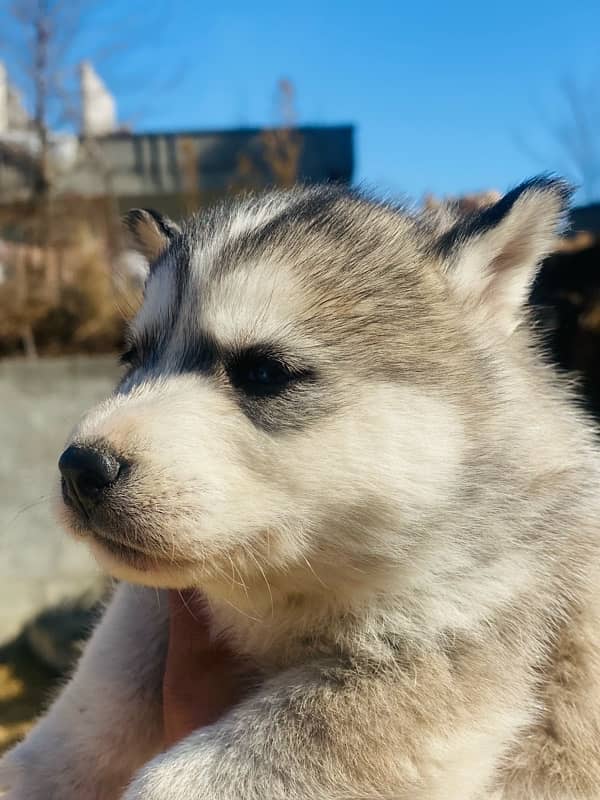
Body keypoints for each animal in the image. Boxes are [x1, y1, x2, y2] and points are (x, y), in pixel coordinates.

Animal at [1, 181, 600, 800]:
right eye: (134, 357)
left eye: (264, 373)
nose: (79, 468)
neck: (285, 597)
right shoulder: (155, 610)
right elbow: (102, 692)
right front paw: (37, 770)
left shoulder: (455, 645)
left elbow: (199, 774)